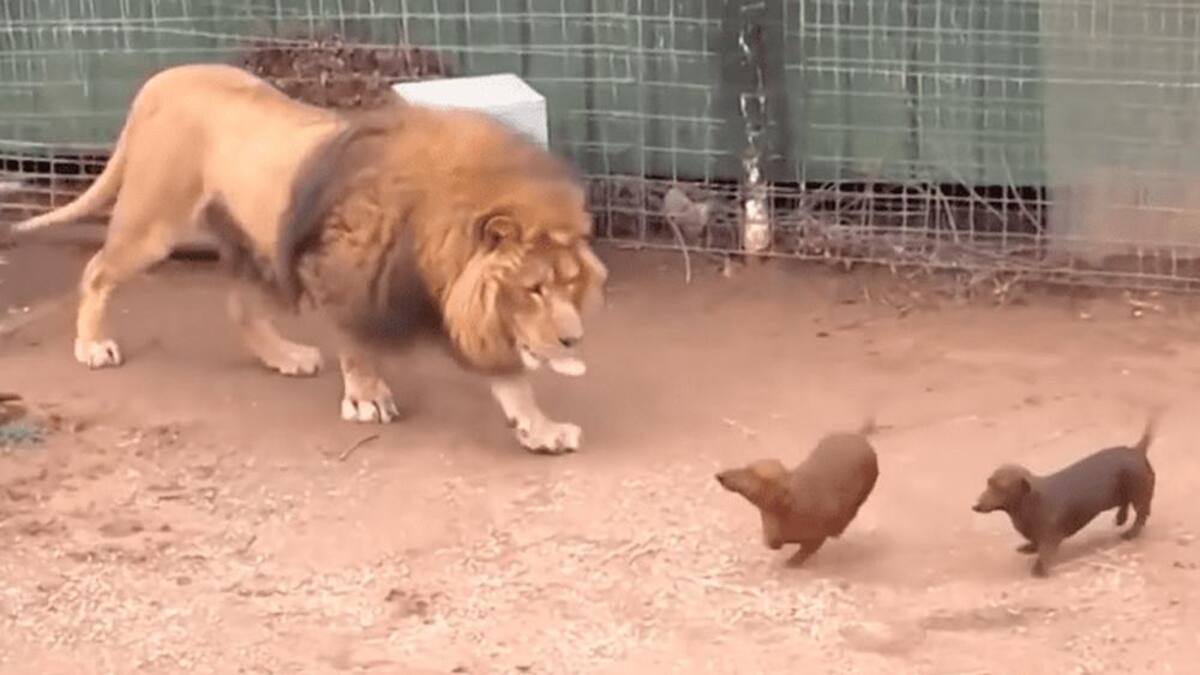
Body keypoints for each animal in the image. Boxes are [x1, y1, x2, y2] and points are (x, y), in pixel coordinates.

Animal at [12, 63, 608, 454]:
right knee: (96, 272)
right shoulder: (345, 274)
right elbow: (358, 347)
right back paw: (92, 345)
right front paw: (366, 399)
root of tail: (163, 77)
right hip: (155, 222)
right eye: (533, 289)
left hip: (250, 240)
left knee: (240, 308)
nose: (574, 340)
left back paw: (285, 356)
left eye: (569, 285)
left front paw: (541, 428)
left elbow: (513, 381)